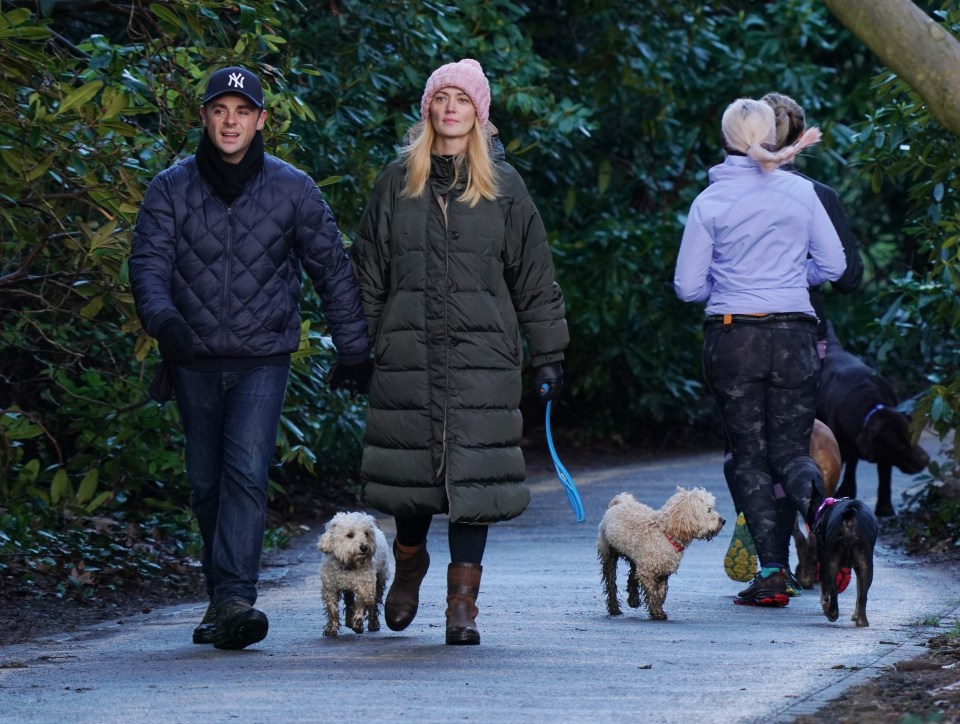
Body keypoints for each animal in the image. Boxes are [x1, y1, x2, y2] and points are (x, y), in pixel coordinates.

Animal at [596, 484, 724, 620]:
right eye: (709, 510)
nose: (723, 521)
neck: (665, 533)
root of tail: (620, 501)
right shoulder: (647, 572)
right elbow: (652, 593)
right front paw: (657, 612)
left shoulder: (662, 571)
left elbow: (661, 592)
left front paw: (659, 606)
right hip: (608, 552)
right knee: (611, 582)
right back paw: (614, 608)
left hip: (636, 557)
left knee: (632, 575)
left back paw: (633, 600)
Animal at [812, 498, 872, 628]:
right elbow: (859, 589)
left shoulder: (823, 559)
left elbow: (824, 589)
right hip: (866, 565)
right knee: (863, 595)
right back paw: (861, 621)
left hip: (832, 561)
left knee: (833, 588)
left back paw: (832, 613)